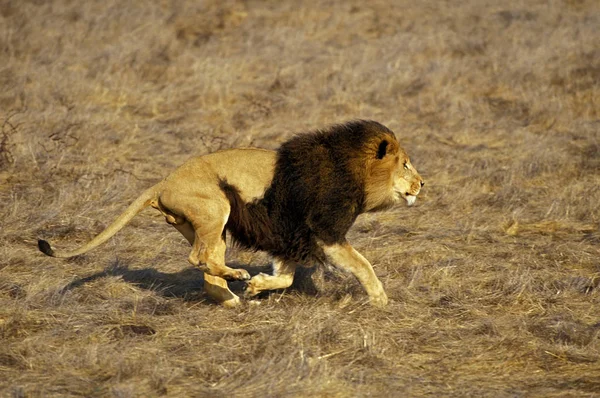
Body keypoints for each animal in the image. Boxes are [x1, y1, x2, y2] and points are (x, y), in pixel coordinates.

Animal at [37, 120, 424, 308]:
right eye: (405, 164)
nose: (422, 183)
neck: (353, 170)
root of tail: (162, 182)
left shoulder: (290, 236)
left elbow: (285, 277)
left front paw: (258, 287)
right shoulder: (324, 232)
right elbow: (363, 264)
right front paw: (380, 300)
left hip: (211, 226)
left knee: (208, 268)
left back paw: (234, 298)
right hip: (216, 207)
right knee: (198, 258)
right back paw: (237, 276)